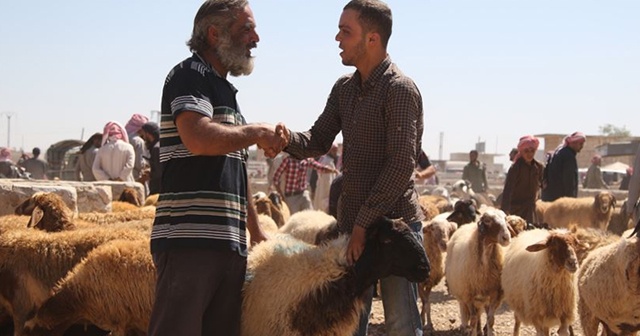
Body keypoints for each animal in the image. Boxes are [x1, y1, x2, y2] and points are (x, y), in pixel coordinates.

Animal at [442, 207, 512, 336]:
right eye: (488, 220)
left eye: (505, 219)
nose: (506, 238)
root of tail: (466, 225)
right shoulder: (469, 295)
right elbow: (473, 319)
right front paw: (473, 331)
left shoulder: (495, 294)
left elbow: (490, 319)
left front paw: (489, 332)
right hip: (462, 292)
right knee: (470, 314)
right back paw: (469, 328)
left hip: (482, 297)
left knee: (481, 313)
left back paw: (480, 330)